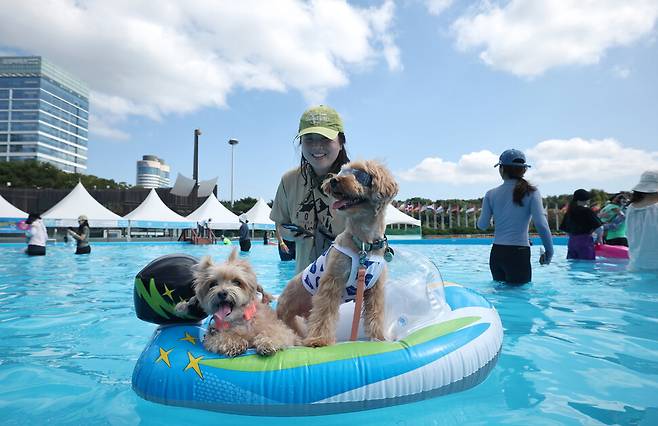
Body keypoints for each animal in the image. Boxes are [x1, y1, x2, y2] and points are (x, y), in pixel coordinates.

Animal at [274, 160, 398, 346]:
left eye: (360, 174)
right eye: (341, 171)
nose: (333, 180)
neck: (364, 244)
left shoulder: (375, 288)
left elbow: (375, 314)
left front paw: (379, 337)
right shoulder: (332, 282)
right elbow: (324, 313)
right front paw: (318, 340)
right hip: (287, 314)